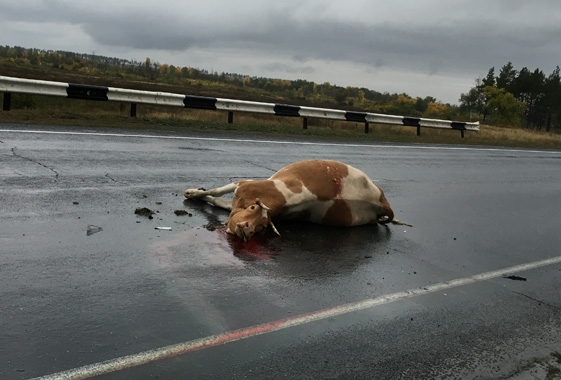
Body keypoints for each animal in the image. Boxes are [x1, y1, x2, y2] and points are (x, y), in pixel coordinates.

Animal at [186, 160, 410, 240]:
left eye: (262, 227)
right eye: (251, 209)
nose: (248, 229)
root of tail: (383, 201)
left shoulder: (243, 184)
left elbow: (215, 193)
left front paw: (192, 192)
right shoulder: (242, 188)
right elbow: (217, 196)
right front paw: (196, 192)